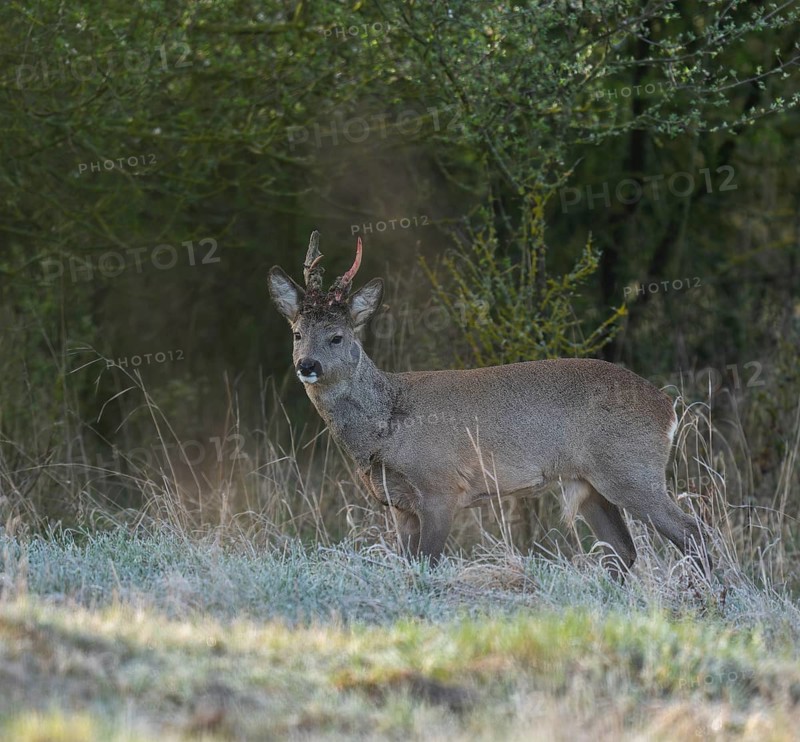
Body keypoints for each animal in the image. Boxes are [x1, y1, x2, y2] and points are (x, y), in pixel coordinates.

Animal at [268, 231, 711, 579]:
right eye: (297, 333)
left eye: (337, 336)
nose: (307, 365)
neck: (387, 424)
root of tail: (668, 409)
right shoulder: (398, 503)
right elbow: (407, 564)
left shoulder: (441, 486)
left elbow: (428, 563)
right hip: (590, 483)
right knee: (623, 550)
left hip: (631, 469)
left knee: (692, 532)